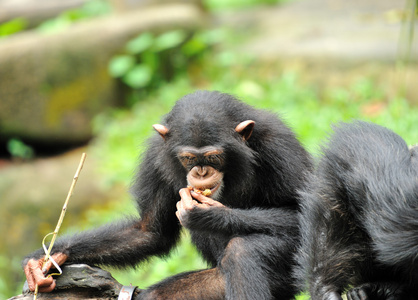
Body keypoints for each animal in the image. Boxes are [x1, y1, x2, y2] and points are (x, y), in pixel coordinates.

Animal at [21, 91, 312, 300]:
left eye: (214, 157)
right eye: (188, 158)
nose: (201, 172)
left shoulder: (279, 144)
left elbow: (304, 214)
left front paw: (208, 216)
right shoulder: (155, 157)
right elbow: (149, 231)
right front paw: (46, 258)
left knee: (244, 251)